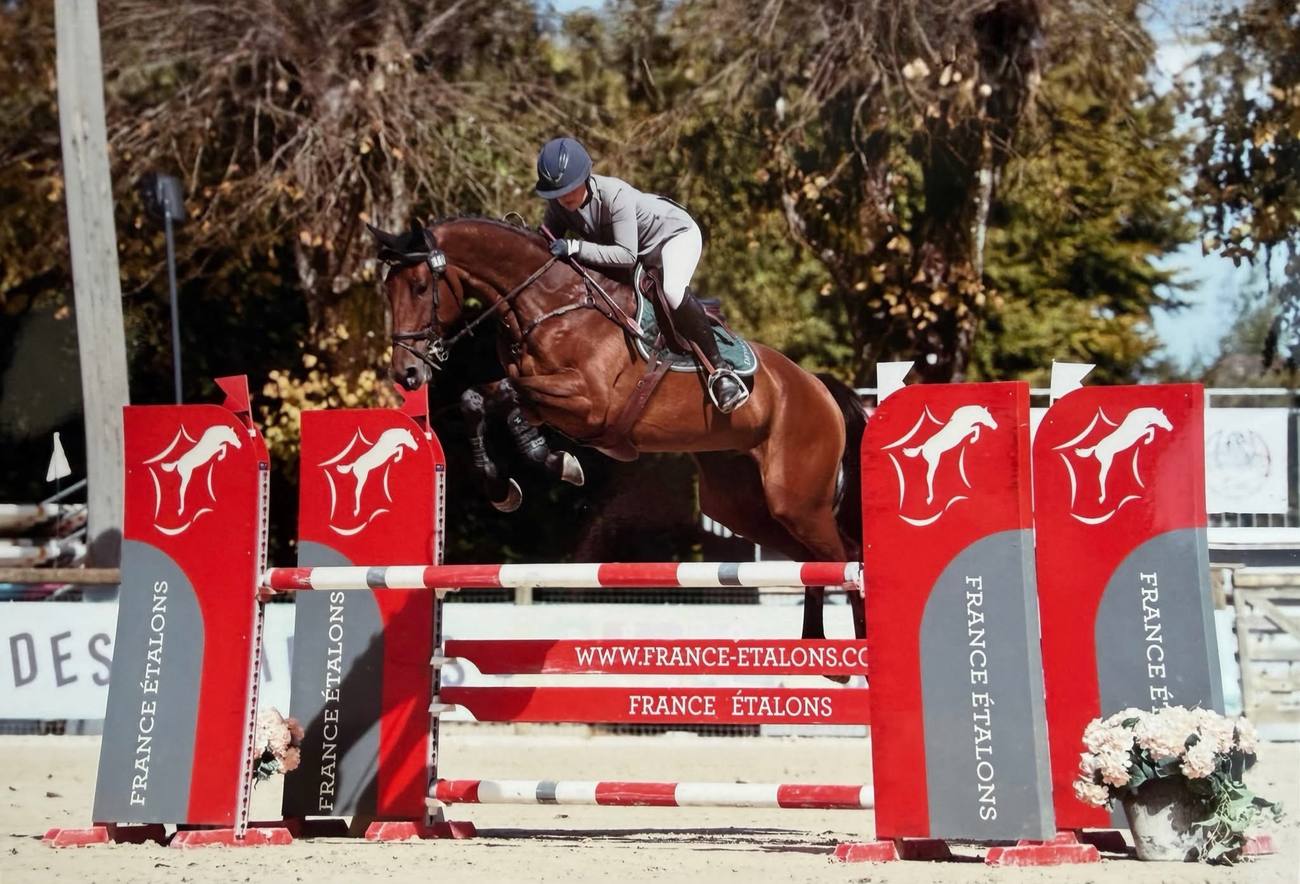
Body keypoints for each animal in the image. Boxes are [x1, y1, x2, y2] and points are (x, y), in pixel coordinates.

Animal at [368, 218, 867, 643]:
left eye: (419, 287)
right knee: (817, 561)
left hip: (797, 499)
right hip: (742, 506)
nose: (406, 374)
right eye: (386, 291)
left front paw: (550, 464)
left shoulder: (590, 403)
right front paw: (510, 481)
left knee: (846, 557)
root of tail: (819, 386)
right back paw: (822, 652)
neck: (550, 306)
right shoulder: (551, 403)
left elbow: (509, 396)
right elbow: (481, 400)